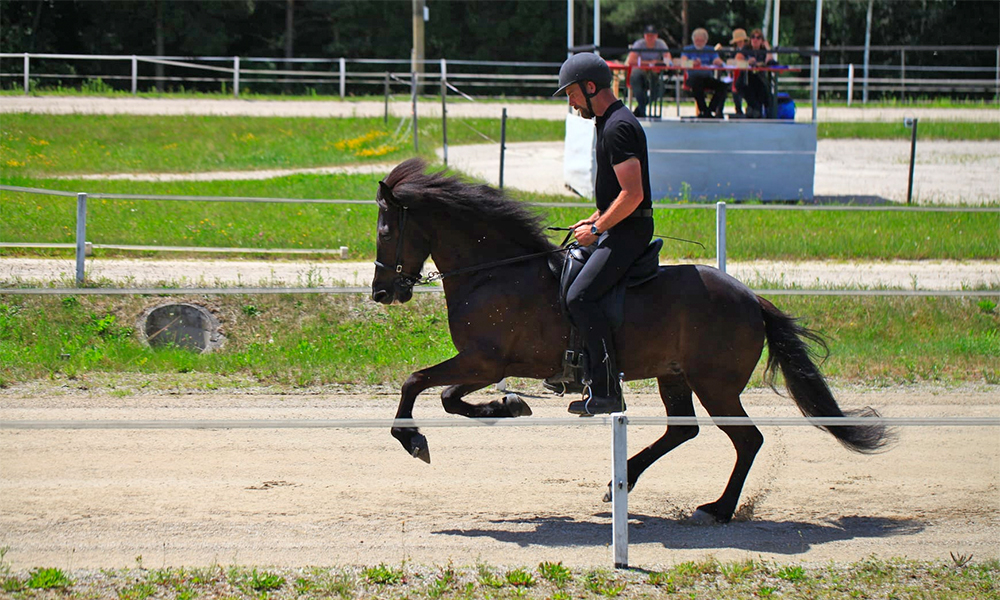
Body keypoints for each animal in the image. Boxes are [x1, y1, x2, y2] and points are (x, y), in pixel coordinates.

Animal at [372, 159, 888, 524]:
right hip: (674, 376)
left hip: (715, 384)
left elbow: (418, 383)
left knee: (747, 439)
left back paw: (718, 509)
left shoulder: (483, 362)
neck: (495, 272)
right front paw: (509, 406)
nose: (381, 293)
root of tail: (750, 297)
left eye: (385, 230)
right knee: (683, 430)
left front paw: (413, 439)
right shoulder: (484, 365)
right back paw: (623, 482)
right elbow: (446, 396)